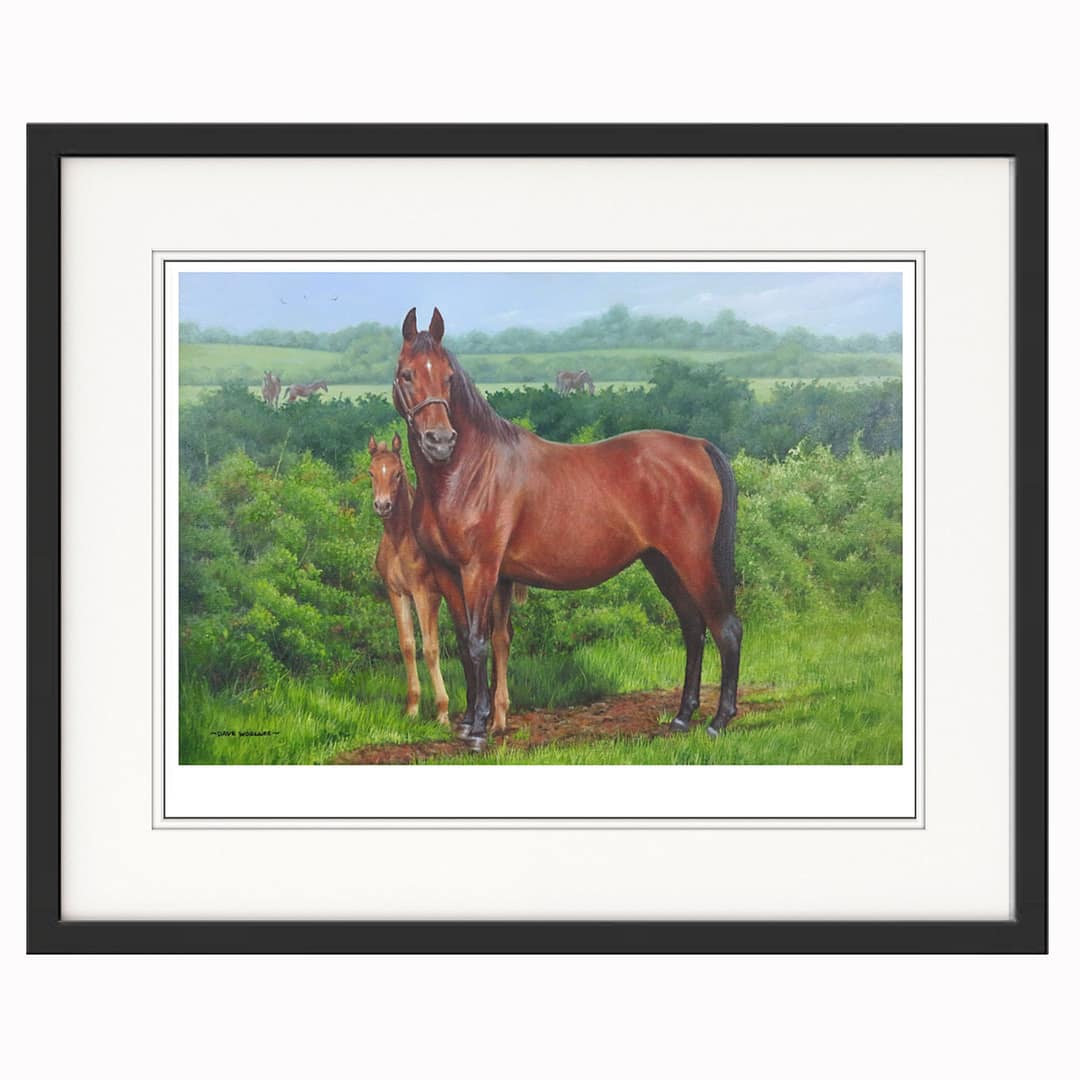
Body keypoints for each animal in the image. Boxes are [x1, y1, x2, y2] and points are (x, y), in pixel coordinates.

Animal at [367, 433, 450, 726]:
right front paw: (412, 708)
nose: (382, 506)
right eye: (370, 473)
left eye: (398, 473)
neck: (400, 539)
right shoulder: (397, 593)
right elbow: (408, 646)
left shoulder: (426, 595)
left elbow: (430, 649)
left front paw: (442, 711)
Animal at [394, 308, 742, 751]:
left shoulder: (480, 570)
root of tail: (698, 446)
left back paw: (718, 721)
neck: (466, 472)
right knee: (693, 628)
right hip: (661, 564)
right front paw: (469, 720)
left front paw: (479, 732)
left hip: (692, 561)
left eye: (449, 377)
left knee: (725, 628)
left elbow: (478, 642)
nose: (439, 440)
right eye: (407, 374)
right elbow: (463, 641)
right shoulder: (446, 572)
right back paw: (681, 718)